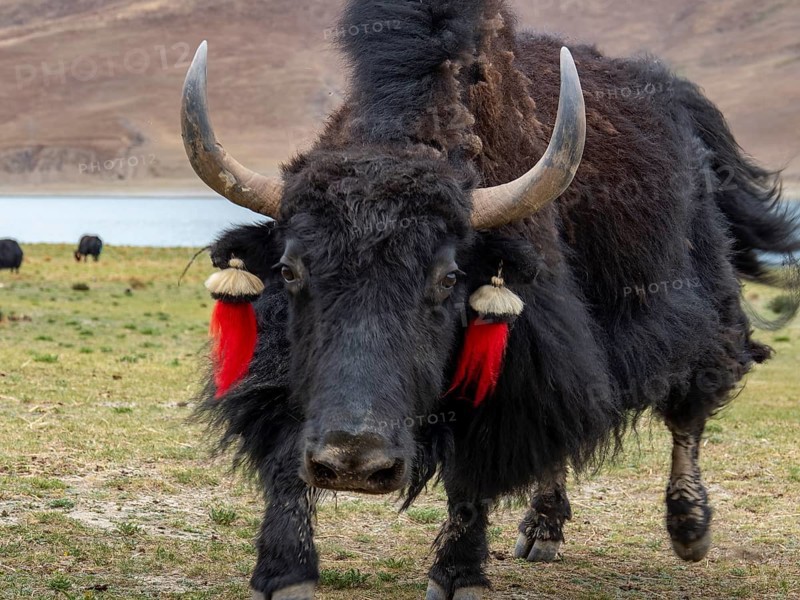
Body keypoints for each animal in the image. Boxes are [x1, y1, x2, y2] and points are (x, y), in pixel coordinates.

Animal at [182, 1, 800, 598]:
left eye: (448, 277)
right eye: (289, 270)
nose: (355, 462)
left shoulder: (518, 364)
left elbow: (474, 469)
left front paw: (457, 578)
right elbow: (285, 453)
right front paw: (283, 574)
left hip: (698, 302)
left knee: (689, 407)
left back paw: (688, 529)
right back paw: (543, 531)